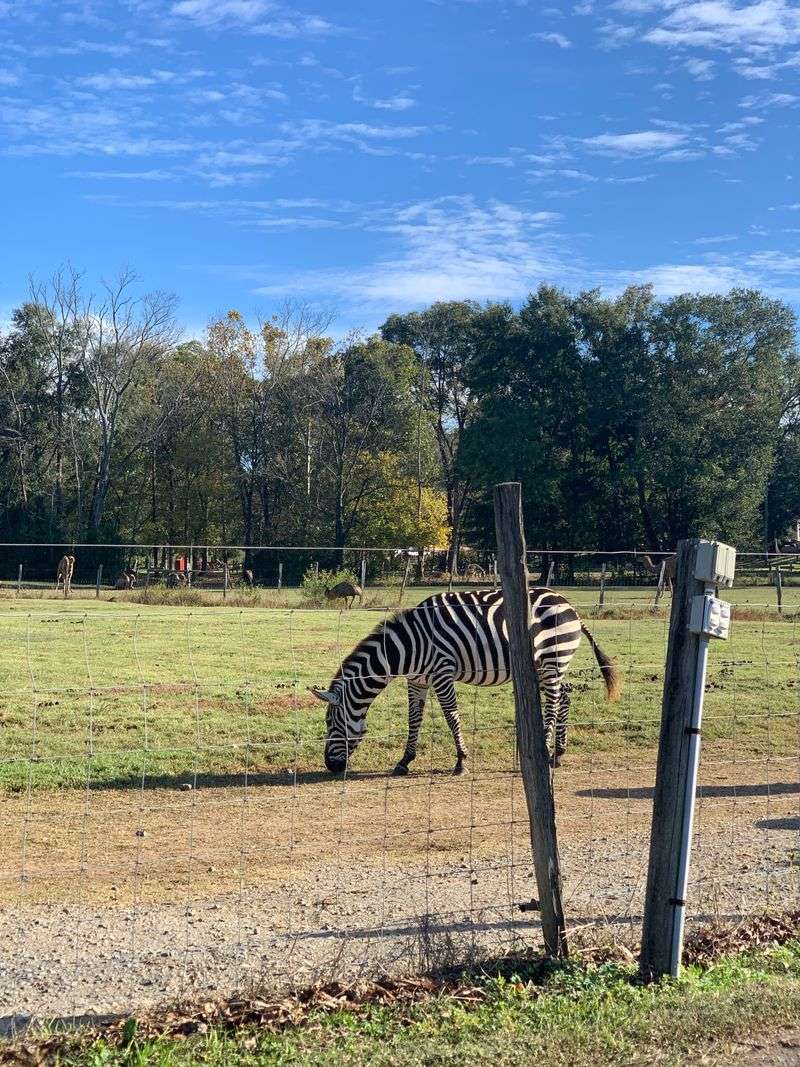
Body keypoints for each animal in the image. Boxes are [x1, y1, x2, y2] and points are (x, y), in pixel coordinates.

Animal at [309, 588, 621, 776]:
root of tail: (568, 604)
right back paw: (559, 753)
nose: (330, 767)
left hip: (552, 659)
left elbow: (451, 716)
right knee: (565, 695)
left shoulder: (442, 672)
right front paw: (404, 761)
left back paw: (546, 754)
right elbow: (414, 719)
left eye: (330, 723)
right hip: (551, 665)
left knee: (555, 701)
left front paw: (461, 761)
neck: (406, 648)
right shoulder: (417, 680)